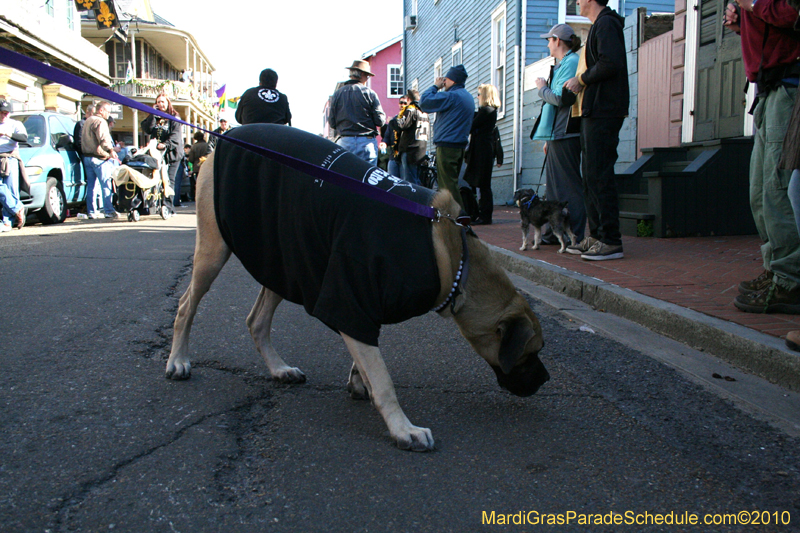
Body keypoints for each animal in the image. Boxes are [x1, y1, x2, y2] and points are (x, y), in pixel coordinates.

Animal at [166, 144, 548, 448]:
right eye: (532, 352)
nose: (545, 380)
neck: (455, 258)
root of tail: (222, 143)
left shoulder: (363, 302)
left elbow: (366, 355)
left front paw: (358, 379)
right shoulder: (351, 293)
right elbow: (383, 380)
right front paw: (402, 428)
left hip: (284, 255)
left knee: (256, 321)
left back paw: (279, 368)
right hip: (215, 251)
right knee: (186, 306)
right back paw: (178, 361)